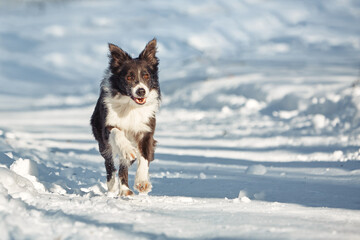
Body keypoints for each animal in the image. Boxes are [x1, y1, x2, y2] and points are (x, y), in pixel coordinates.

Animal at [91, 39, 160, 197]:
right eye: (129, 77)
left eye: (146, 76)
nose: (141, 91)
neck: (131, 106)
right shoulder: (108, 125)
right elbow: (117, 132)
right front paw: (127, 149)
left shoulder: (146, 130)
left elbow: (144, 157)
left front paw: (142, 182)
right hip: (102, 142)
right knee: (110, 164)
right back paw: (112, 188)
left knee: (124, 165)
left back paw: (124, 190)